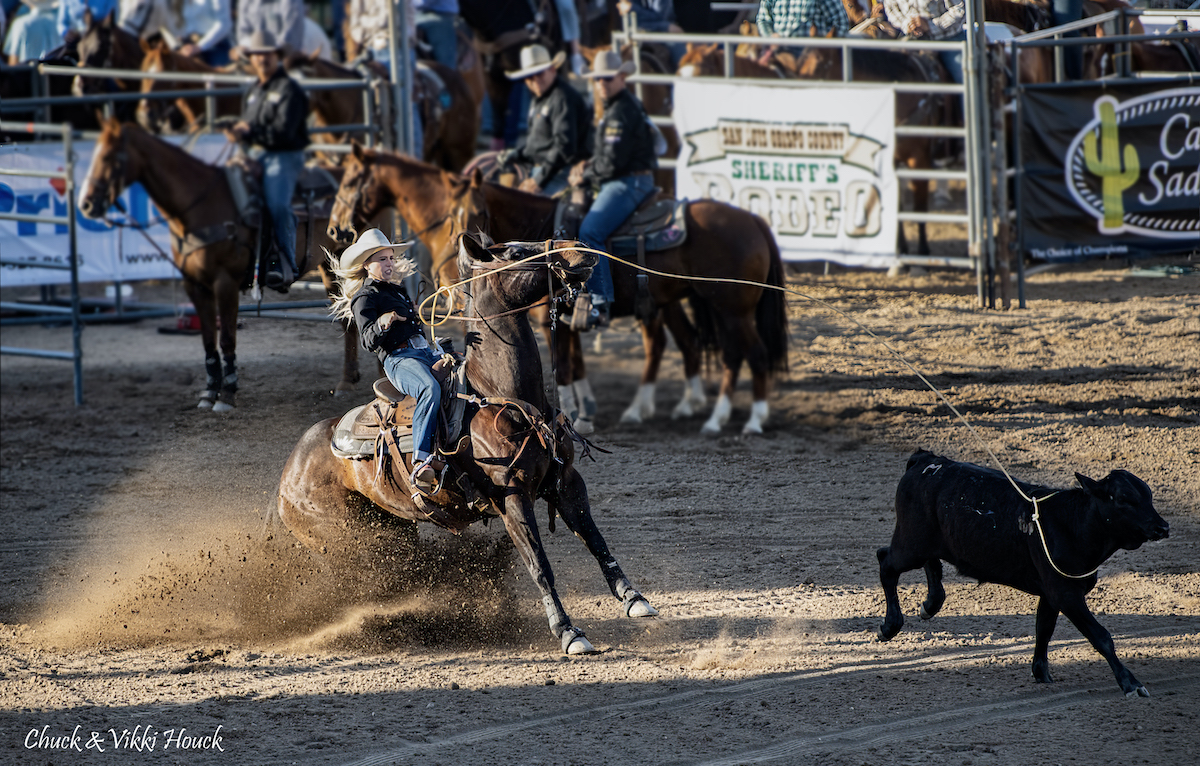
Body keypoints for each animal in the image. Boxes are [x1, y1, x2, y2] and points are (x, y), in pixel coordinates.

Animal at [75, 118, 364, 408]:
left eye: (110, 156)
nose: (86, 205)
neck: (199, 208)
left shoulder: (225, 283)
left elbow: (226, 338)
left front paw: (227, 394)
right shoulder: (195, 285)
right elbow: (207, 341)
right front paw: (209, 391)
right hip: (331, 268)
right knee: (347, 320)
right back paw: (347, 382)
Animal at [274, 234, 657, 653]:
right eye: (517, 252)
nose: (577, 247)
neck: (502, 395)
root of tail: (289, 472)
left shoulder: (566, 482)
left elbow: (595, 539)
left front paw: (634, 599)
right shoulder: (512, 498)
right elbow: (539, 564)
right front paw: (569, 632)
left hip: (392, 525)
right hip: (353, 540)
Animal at [331, 144, 796, 437]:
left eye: (351, 179)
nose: (335, 228)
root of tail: (754, 220)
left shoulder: (554, 318)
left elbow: (568, 365)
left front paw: (577, 414)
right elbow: (575, 365)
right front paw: (583, 409)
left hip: (731, 308)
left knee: (746, 354)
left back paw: (741, 420)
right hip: (693, 303)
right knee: (686, 346)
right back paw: (676, 408)